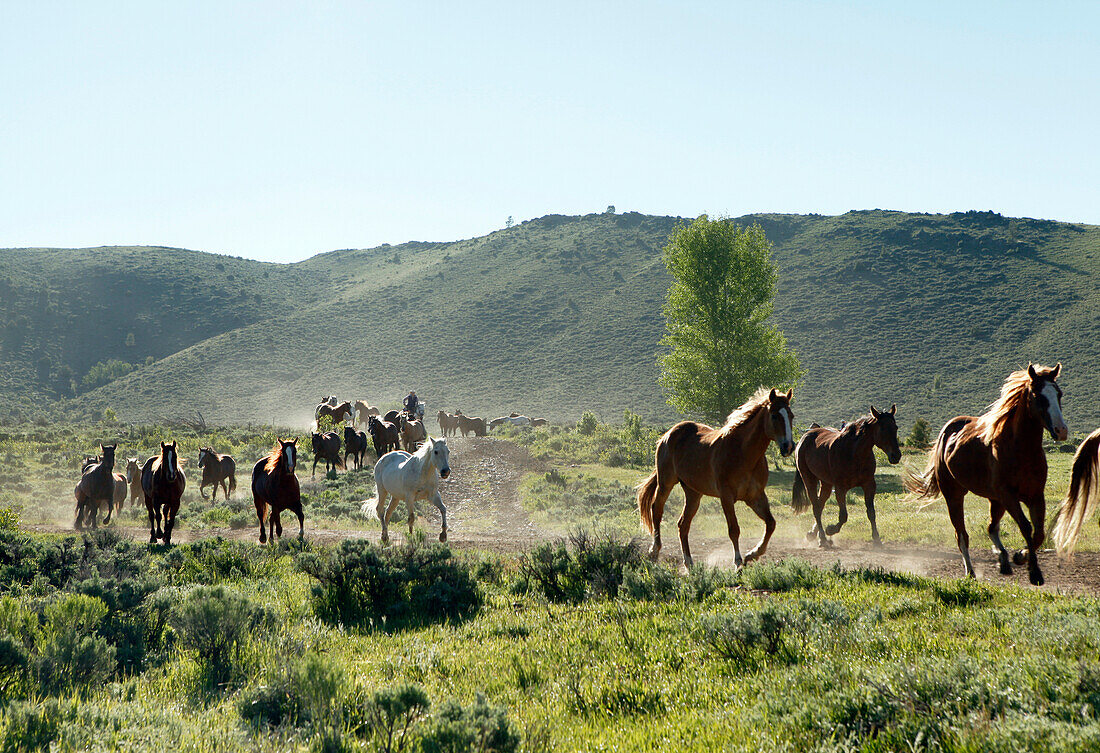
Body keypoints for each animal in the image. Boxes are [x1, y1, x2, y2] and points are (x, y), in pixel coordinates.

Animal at [638, 384, 800, 567]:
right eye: (774, 415)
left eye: (791, 415)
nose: (788, 446)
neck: (743, 454)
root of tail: (668, 435)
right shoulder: (726, 496)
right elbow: (734, 529)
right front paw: (738, 562)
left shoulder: (755, 496)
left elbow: (771, 524)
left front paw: (752, 554)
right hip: (666, 483)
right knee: (656, 509)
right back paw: (654, 550)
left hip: (693, 493)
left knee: (683, 524)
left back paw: (689, 563)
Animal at [792, 404, 902, 545]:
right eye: (882, 429)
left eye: (895, 427)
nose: (896, 455)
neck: (854, 453)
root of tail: (805, 437)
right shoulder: (840, 488)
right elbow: (843, 516)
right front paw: (831, 529)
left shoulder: (869, 485)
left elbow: (871, 512)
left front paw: (876, 538)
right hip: (809, 479)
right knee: (816, 507)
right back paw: (822, 538)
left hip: (826, 484)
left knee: (820, 504)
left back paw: (812, 534)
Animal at [902, 360, 1064, 584]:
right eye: (1038, 396)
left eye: (1059, 394)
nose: (1061, 430)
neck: (1020, 449)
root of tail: (946, 431)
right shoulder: (1008, 496)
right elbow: (1026, 527)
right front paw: (1034, 572)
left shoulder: (1035, 496)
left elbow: (1038, 533)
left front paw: (1019, 556)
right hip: (955, 496)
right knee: (962, 534)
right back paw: (970, 571)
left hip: (995, 500)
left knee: (991, 527)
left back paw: (1003, 560)